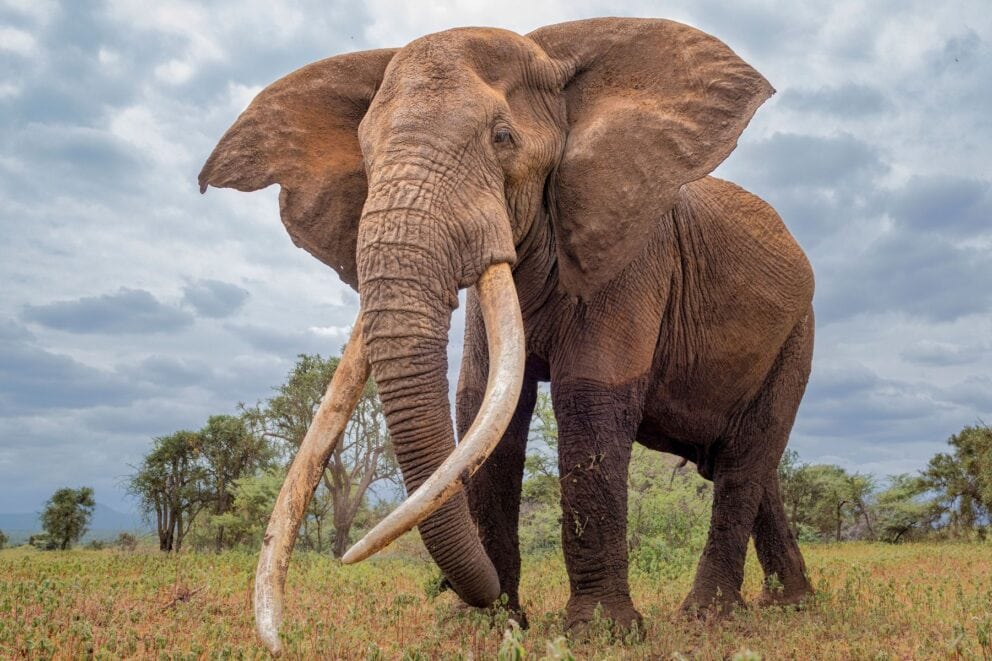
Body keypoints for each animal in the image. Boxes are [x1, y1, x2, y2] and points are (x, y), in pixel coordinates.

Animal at [199, 17, 815, 654]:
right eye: (365, 153)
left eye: (502, 138)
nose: (460, 589)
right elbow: (484, 401)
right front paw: (490, 624)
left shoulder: (634, 253)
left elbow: (587, 399)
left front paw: (601, 633)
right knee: (743, 465)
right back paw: (790, 604)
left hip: (797, 333)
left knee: (744, 460)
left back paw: (709, 617)